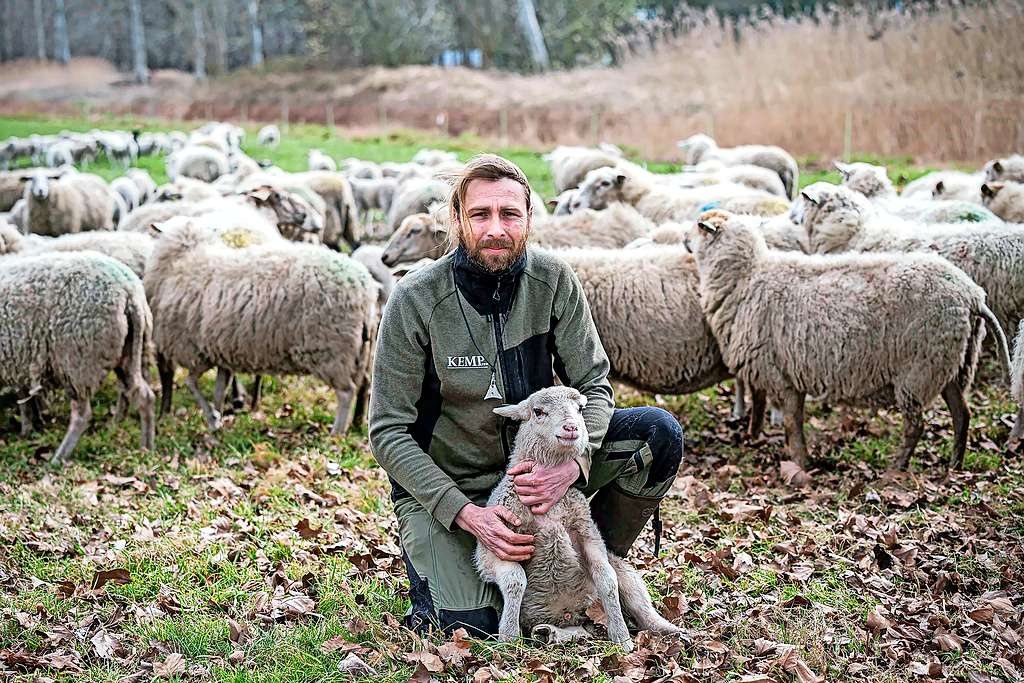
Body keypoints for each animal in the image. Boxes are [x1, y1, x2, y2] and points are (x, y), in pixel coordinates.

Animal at [0, 248, 155, 462]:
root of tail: (129, 290)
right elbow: (25, 400)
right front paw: (28, 430)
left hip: (78, 359)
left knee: (82, 415)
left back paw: (58, 459)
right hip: (128, 353)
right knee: (143, 396)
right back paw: (145, 448)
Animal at [145, 216, 380, 436]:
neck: (185, 259)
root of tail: (365, 289)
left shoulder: (195, 350)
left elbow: (191, 382)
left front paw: (212, 418)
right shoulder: (218, 350)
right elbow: (220, 388)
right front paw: (217, 420)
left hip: (330, 349)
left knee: (346, 391)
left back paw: (336, 433)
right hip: (362, 350)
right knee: (365, 385)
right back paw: (359, 423)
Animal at [475, 387, 684, 651]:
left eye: (580, 408)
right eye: (538, 412)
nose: (571, 427)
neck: (551, 511)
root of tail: (567, 617)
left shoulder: (586, 532)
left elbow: (607, 580)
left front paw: (622, 638)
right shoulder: (498, 543)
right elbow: (515, 581)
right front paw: (509, 639)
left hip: (622, 573)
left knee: (638, 601)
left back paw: (670, 630)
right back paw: (549, 633)